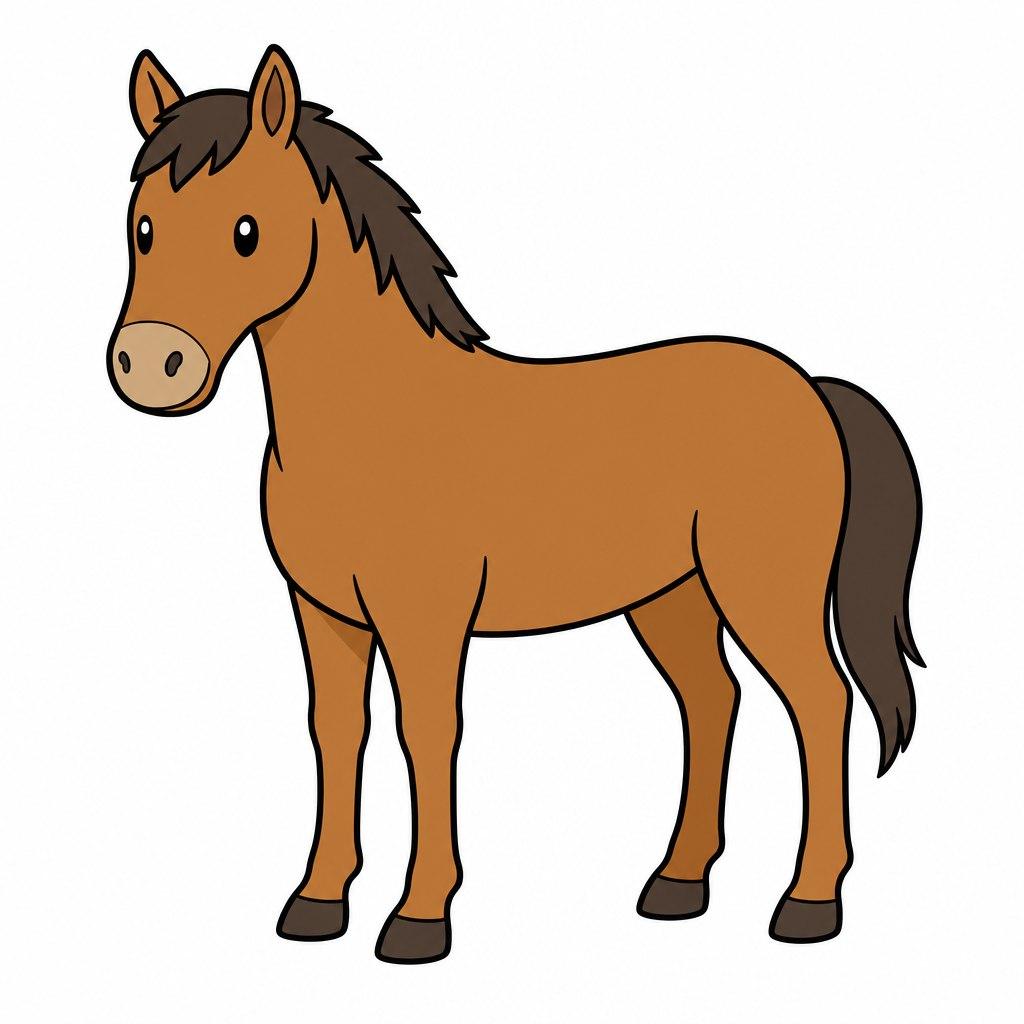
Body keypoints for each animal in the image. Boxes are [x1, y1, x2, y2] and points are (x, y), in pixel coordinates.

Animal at [107, 45, 924, 963]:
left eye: (246, 231)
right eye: (143, 226)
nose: (151, 366)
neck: (376, 417)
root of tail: (811, 387)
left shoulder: (423, 616)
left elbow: (426, 732)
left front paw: (419, 916)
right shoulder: (324, 612)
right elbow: (337, 732)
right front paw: (317, 902)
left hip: (764, 593)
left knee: (820, 704)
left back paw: (809, 902)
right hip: (672, 597)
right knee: (713, 703)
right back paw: (678, 884)